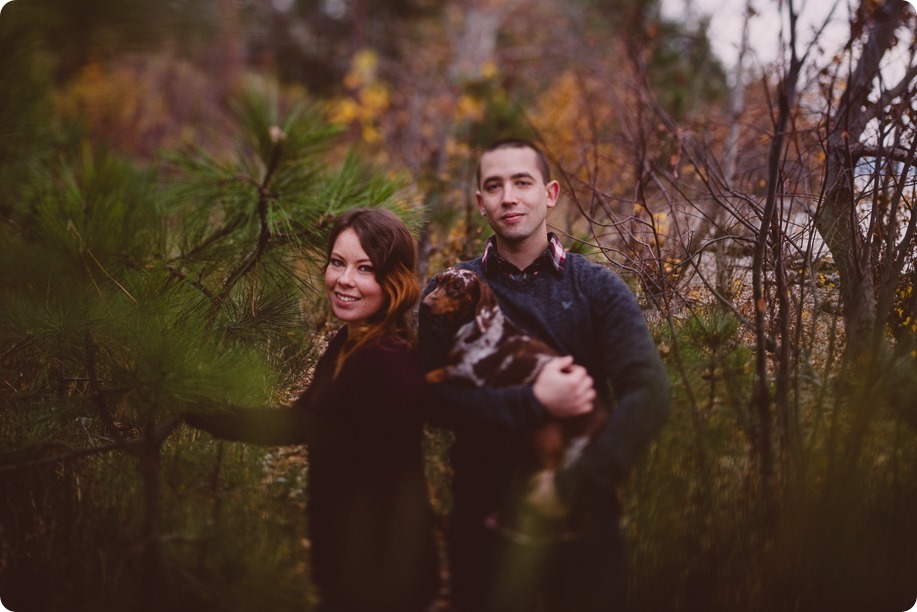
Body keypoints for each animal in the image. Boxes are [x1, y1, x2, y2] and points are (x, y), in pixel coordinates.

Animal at [422, 268, 608, 540]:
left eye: (456, 287)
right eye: (438, 281)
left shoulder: (468, 373)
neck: (473, 328)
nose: (425, 303)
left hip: (568, 454)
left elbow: (429, 375)